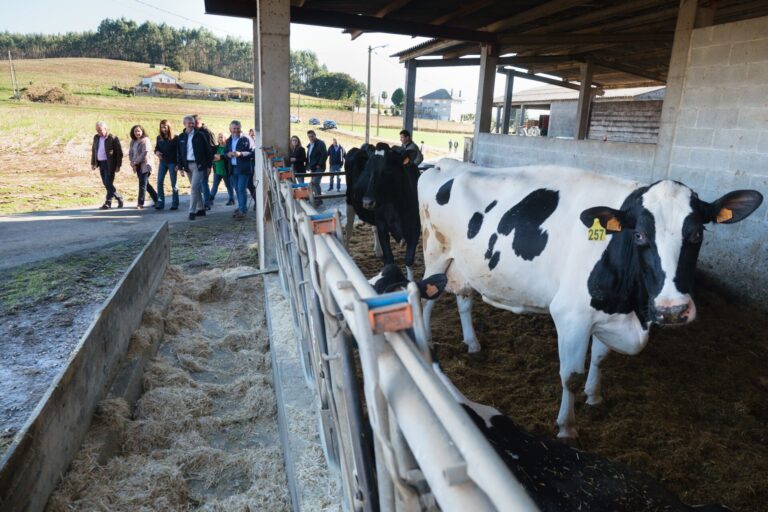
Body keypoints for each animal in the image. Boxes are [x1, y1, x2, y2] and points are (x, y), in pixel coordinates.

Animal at [346, 142, 420, 280]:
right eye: (367, 170)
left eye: (387, 170)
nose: (367, 201)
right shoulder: (382, 225)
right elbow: (389, 259)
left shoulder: (416, 227)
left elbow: (409, 259)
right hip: (349, 200)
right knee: (348, 228)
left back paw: (378, 251)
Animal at [420, 161, 760, 440]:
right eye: (639, 235)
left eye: (697, 234)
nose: (672, 310)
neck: (631, 309)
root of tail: (443, 164)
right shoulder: (571, 316)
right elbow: (570, 376)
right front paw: (567, 427)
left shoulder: (608, 314)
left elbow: (599, 358)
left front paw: (594, 396)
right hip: (435, 255)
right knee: (426, 299)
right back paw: (426, 342)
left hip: (464, 266)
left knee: (464, 299)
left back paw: (473, 343)